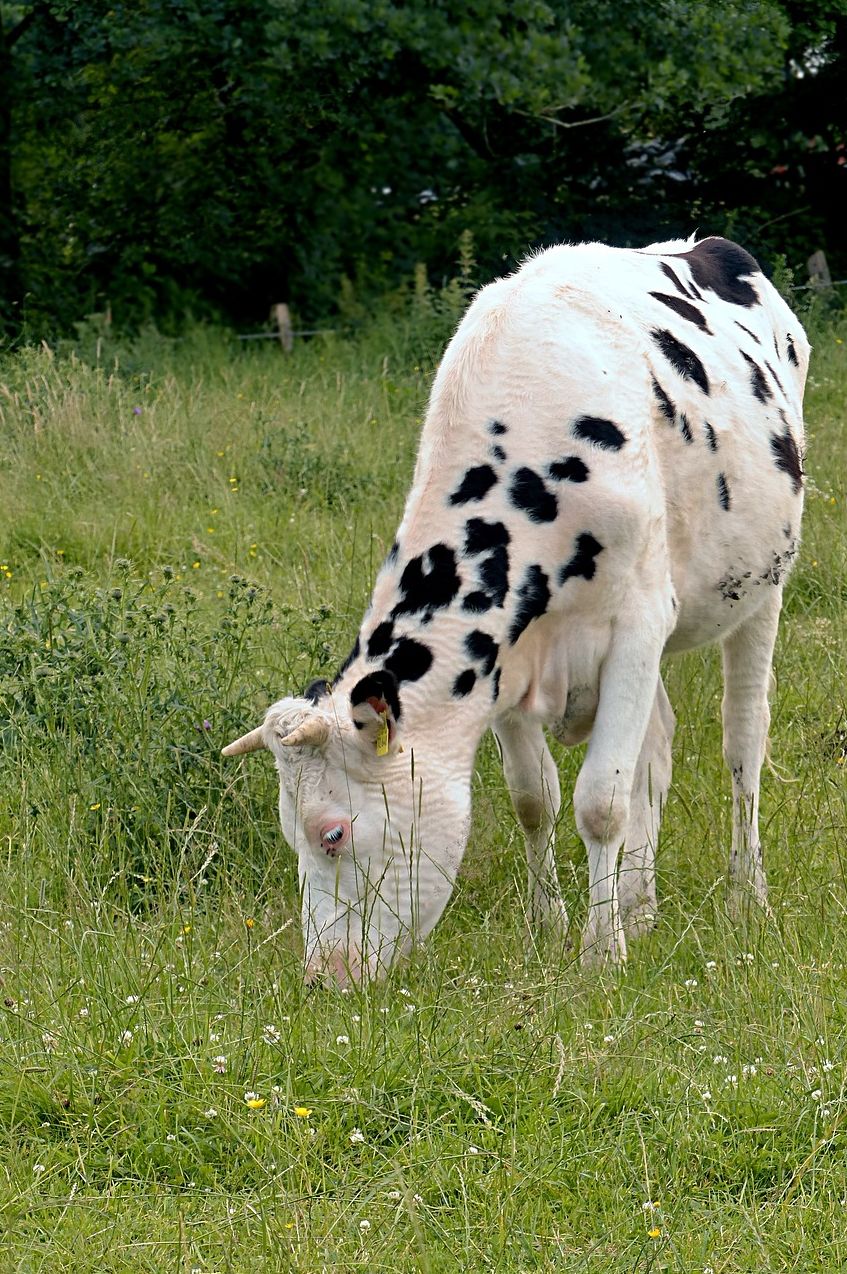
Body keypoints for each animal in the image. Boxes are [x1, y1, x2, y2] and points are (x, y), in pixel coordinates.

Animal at [222, 231, 804, 983]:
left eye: (332, 833)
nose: (325, 975)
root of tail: (701, 243)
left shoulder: (638, 623)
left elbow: (601, 801)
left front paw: (601, 954)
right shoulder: (504, 658)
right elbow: (535, 797)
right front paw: (549, 925)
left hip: (761, 586)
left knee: (742, 740)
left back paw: (744, 895)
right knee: (657, 747)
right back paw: (641, 905)